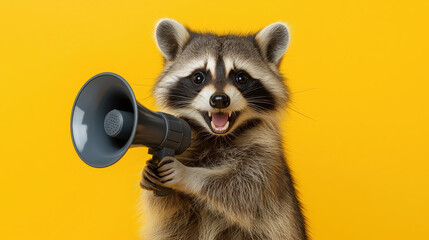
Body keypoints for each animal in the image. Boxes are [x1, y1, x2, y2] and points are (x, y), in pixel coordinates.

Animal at [139, 18, 306, 240]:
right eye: (198, 77)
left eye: (241, 78)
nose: (219, 99)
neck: (216, 137)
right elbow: (166, 205)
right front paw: (150, 176)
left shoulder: (265, 154)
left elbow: (244, 189)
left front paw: (188, 175)